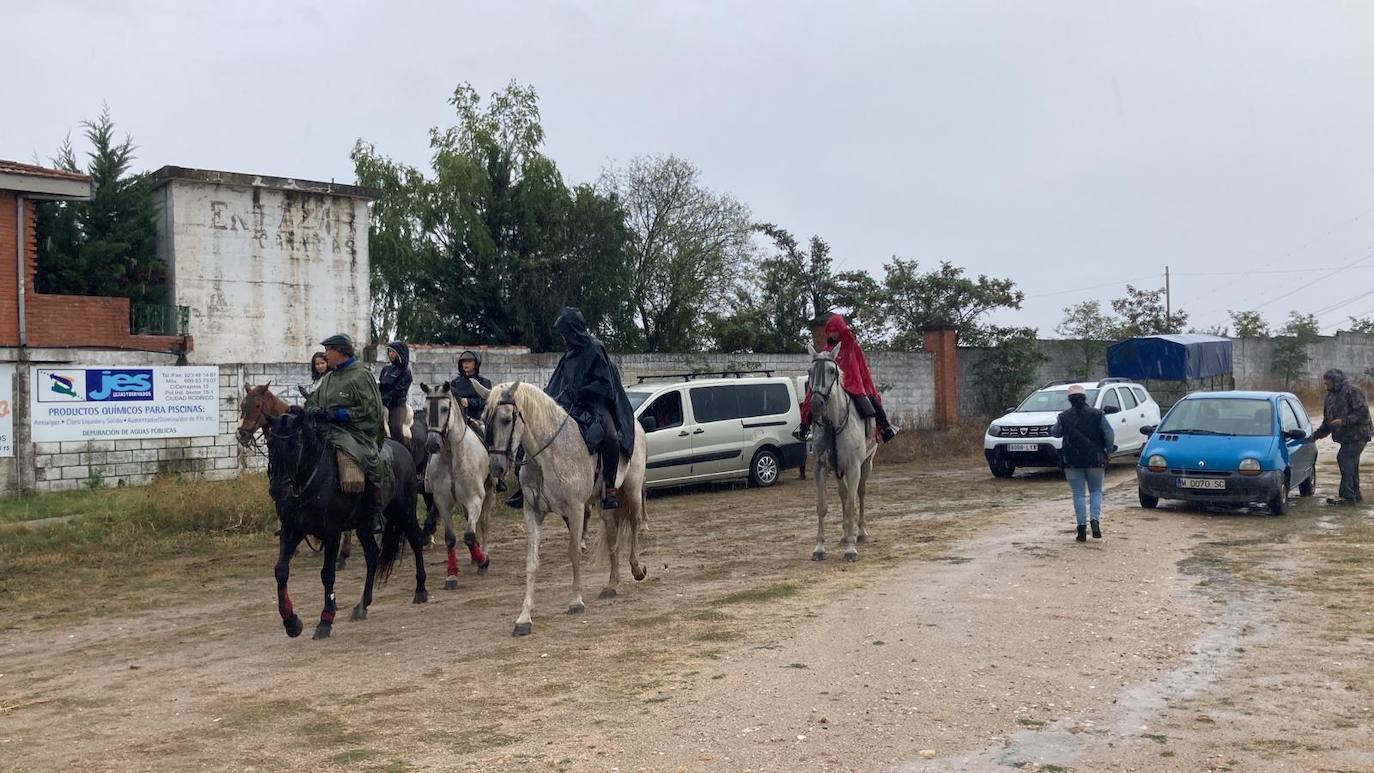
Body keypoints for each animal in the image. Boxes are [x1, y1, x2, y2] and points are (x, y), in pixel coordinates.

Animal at [425, 381, 502, 593]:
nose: (432, 444)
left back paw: (482, 555)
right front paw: (451, 575)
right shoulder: (442, 503)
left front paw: (484, 561)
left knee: (483, 524)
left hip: (489, 494)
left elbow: (468, 535)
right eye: (425, 409)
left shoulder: (475, 499)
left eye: (444, 409)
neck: (452, 456)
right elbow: (451, 538)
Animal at [472, 381, 648, 642]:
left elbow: (574, 553)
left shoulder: (575, 509)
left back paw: (637, 569)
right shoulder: (532, 512)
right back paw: (611, 585)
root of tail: (637, 424)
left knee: (635, 523)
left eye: (506, 419)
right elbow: (532, 562)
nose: (496, 467)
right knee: (613, 538)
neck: (549, 455)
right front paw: (524, 618)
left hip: (633, 490)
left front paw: (576, 601)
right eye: (484, 418)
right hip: (605, 505)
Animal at [807, 345, 873, 562]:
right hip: (837, 470)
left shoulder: (853, 468)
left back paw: (860, 533)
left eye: (831, 371)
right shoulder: (821, 467)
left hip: (867, 464)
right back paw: (845, 534)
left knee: (860, 493)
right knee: (843, 494)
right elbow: (822, 506)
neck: (834, 424)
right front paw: (819, 548)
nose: (816, 403)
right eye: (810, 372)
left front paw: (851, 549)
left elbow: (852, 505)